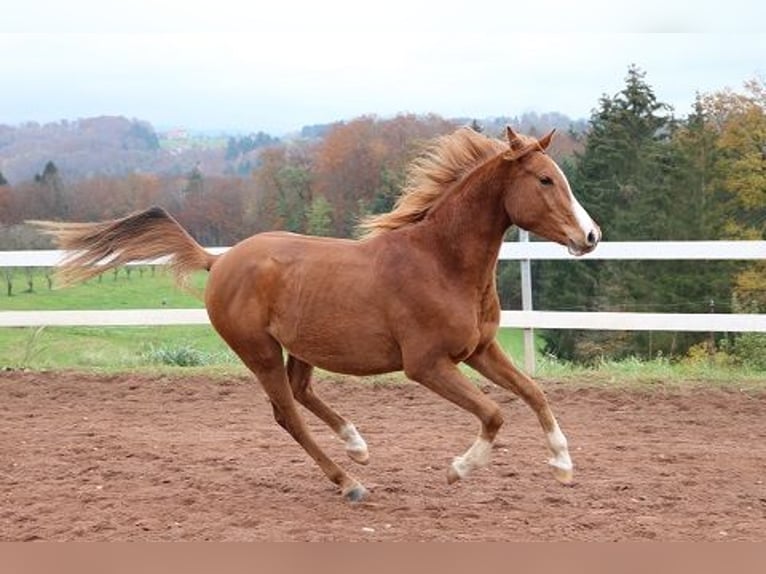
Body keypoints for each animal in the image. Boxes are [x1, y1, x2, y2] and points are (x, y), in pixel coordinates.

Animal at [36, 127, 600, 504]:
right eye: (545, 180)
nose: (591, 236)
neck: (440, 262)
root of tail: (220, 261)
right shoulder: (427, 365)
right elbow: (494, 413)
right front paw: (458, 470)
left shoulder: (479, 349)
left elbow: (533, 392)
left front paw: (563, 464)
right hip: (259, 352)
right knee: (287, 412)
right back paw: (350, 481)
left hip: (304, 345)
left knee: (302, 392)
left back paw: (357, 446)